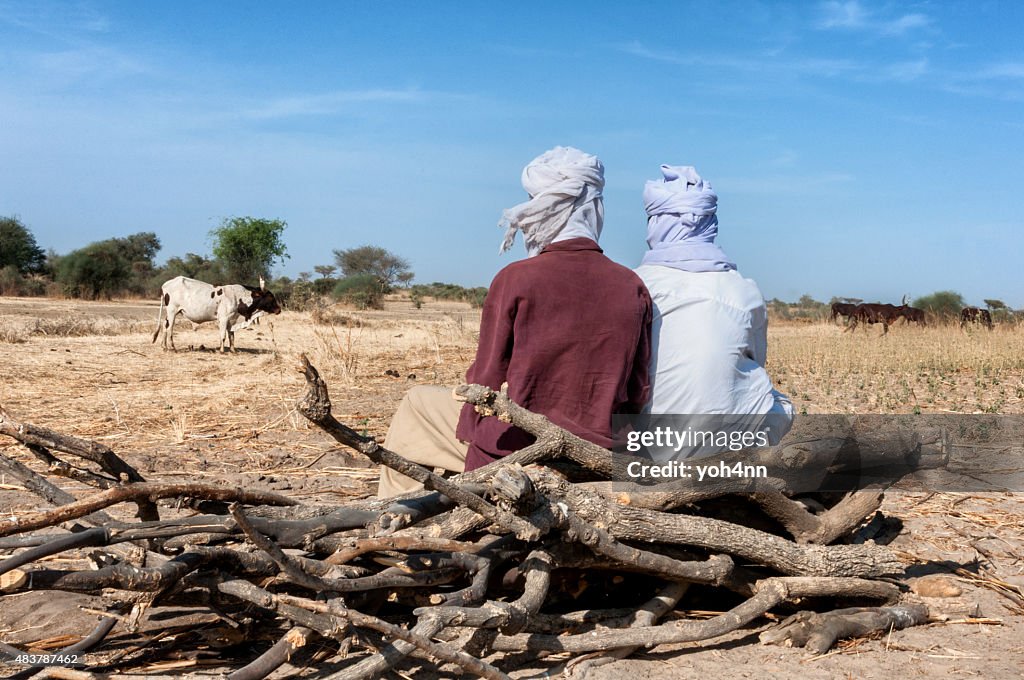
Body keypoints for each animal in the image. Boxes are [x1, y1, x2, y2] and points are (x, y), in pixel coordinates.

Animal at [151, 274, 282, 352]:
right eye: (270, 297)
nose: (279, 309)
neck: (238, 297)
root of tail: (166, 284)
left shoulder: (232, 319)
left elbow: (231, 336)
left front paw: (233, 350)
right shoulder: (223, 318)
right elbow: (223, 336)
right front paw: (222, 350)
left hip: (170, 313)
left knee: (165, 325)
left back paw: (164, 346)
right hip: (172, 311)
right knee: (170, 329)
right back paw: (173, 347)